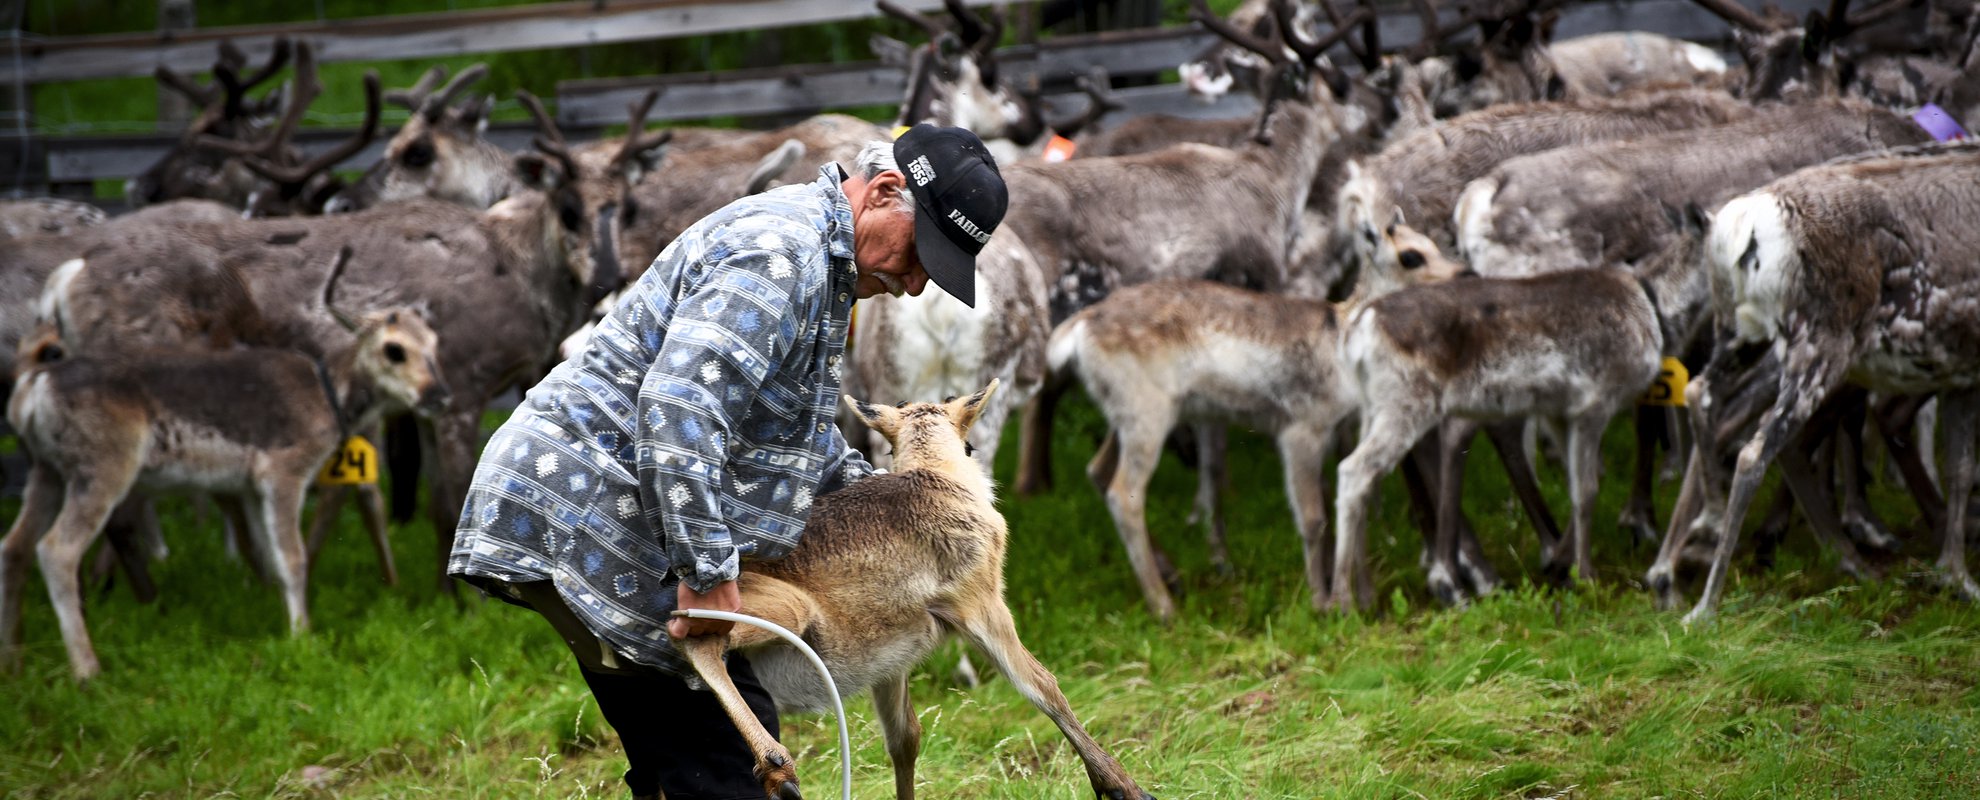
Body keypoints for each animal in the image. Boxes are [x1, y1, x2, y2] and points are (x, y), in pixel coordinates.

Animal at [0, 306, 447, 681]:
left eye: (434, 343)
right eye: (394, 349)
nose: (439, 394)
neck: (330, 397)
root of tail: (32, 391)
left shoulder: (249, 487)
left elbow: (266, 556)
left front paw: (276, 616)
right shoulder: (283, 470)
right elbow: (293, 557)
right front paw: (303, 635)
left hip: (47, 470)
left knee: (15, 545)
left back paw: (14, 661)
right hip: (102, 465)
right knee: (56, 549)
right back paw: (87, 670)